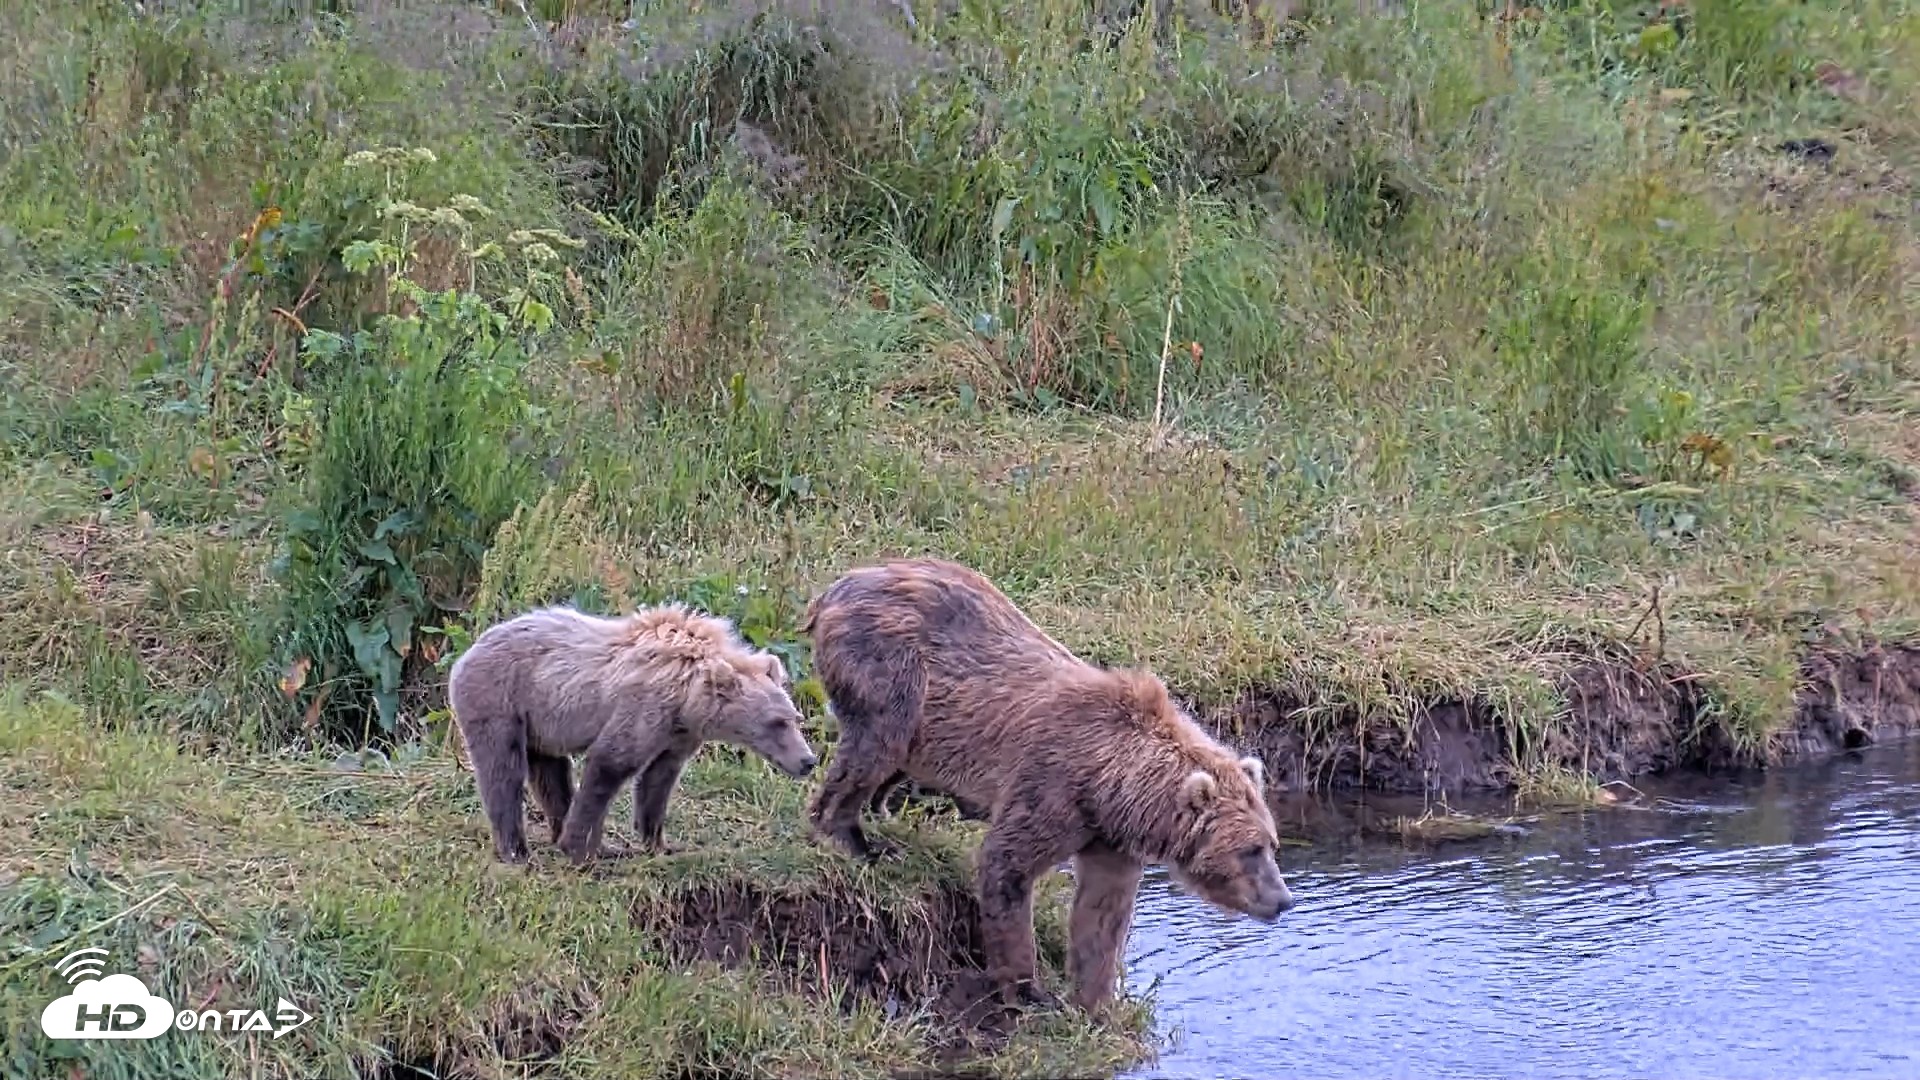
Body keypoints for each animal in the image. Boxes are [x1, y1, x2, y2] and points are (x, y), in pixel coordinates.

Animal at [447, 602, 818, 865]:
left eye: (795, 718)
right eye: (776, 722)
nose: (808, 761)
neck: (689, 696)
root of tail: (466, 652)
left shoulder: (678, 734)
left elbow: (658, 780)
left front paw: (658, 843)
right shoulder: (646, 708)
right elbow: (611, 763)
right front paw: (580, 847)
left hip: (542, 719)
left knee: (551, 773)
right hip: (500, 698)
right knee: (503, 770)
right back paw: (516, 850)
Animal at [801, 557, 1293, 1013]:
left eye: (1272, 844)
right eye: (1249, 850)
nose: (1283, 899)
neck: (1111, 784)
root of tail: (837, 586)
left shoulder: (1110, 838)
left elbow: (1102, 915)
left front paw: (1095, 1002)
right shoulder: (1051, 786)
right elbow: (1007, 869)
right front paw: (1029, 989)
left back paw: (883, 815)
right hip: (889, 666)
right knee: (877, 740)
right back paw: (855, 838)